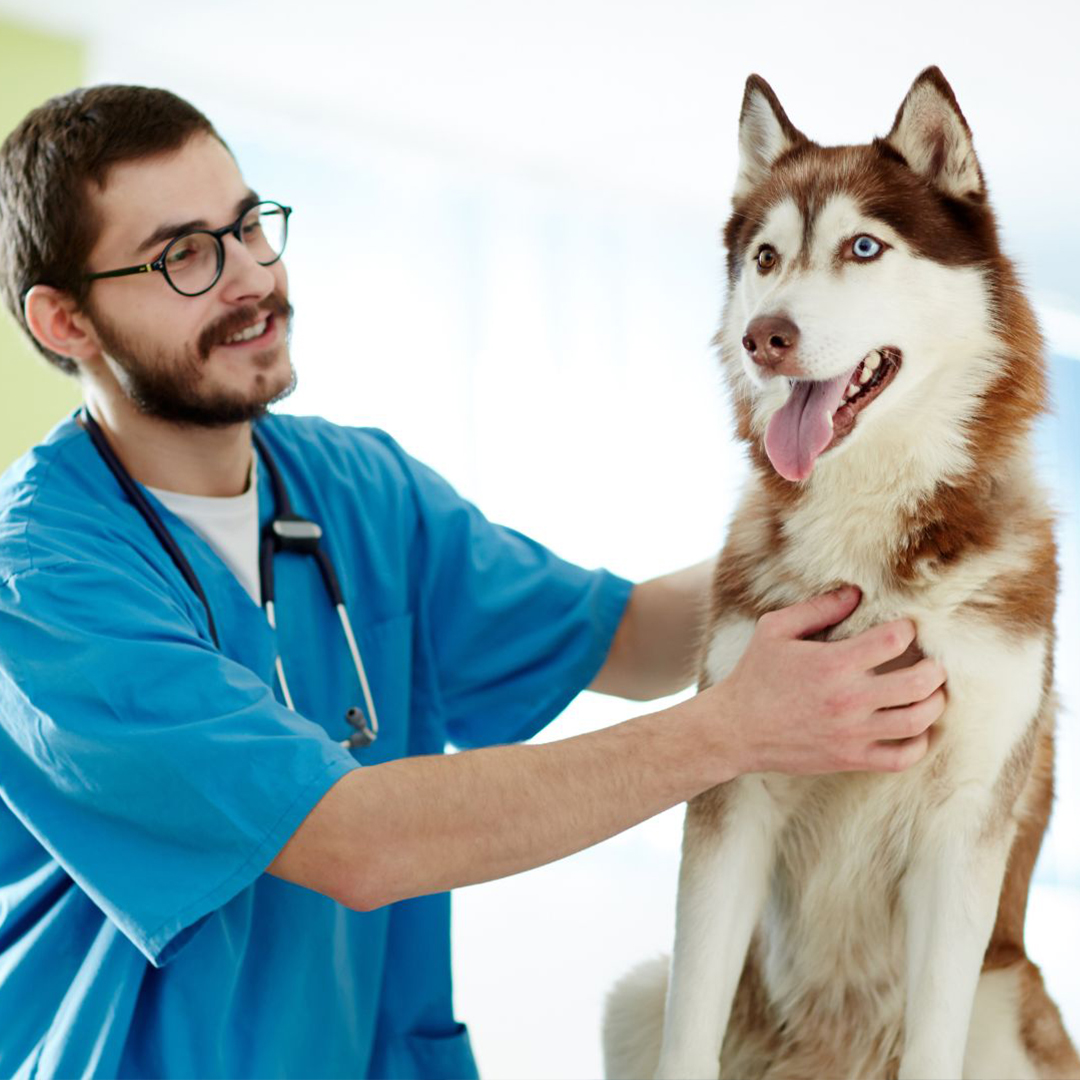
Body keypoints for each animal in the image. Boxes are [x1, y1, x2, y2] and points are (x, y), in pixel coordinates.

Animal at [604, 69, 1075, 1080]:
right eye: (768, 257)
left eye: (864, 247)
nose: (765, 338)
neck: (876, 537)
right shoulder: (733, 791)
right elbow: (690, 1028)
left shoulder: (965, 822)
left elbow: (934, 1039)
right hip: (636, 995)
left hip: (1003, 1002)